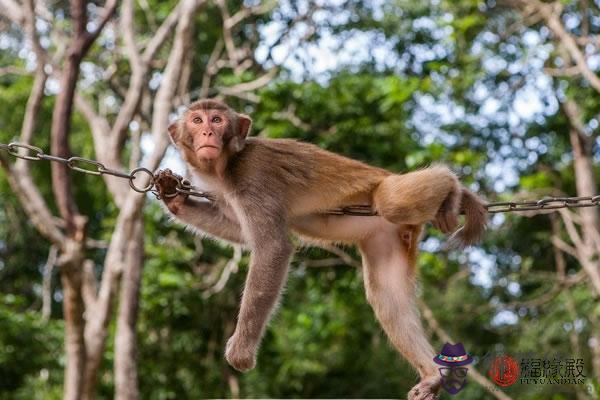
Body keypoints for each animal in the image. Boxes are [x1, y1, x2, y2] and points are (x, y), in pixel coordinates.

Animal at [155, 99, 488, 400]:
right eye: (197, 120)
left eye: (217, 119)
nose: (208, 133)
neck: (228, 166)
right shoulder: (227, 192)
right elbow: (238, 231)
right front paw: (175, 198)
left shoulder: (252, 178)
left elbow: (272, 247)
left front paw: (241, 351)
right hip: (388, 237)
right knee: (387, 297)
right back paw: (431, 375)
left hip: (387, 192)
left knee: (390, 200)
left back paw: (451, 185)